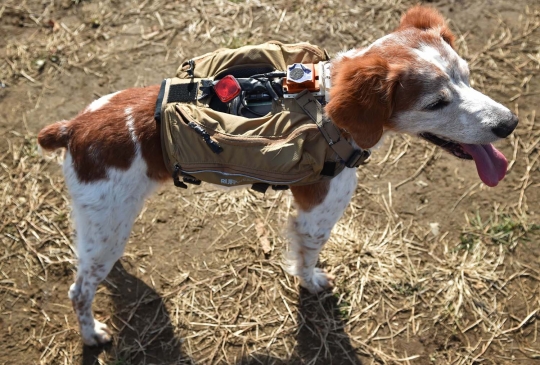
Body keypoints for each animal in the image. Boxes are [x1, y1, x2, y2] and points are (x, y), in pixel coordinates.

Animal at [38, 7, 520, 346]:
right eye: (436, 103)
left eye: (467, 77)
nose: (510, 123)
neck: (326, 103)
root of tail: (73, 128)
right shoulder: (316, 211)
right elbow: (306, 255)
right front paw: (311, 282)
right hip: (107, 225)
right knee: (79, 291)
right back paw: (91, 334)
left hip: (104, 225)